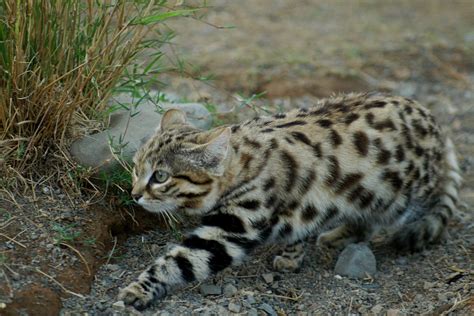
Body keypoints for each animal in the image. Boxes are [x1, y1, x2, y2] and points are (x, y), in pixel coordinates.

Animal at [117, 92, 460, 310]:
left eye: (160, 177)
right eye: (135, 167)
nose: (134, 194)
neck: (241, 162)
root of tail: (436, 127)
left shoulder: (230, 231)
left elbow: (176, 261)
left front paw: (139, 289)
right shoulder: (302, 209)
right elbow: (299, 231)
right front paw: (292, 257)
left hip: (399, 197)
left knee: (427, 203)